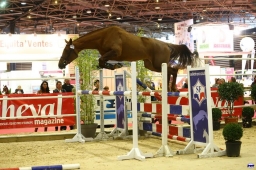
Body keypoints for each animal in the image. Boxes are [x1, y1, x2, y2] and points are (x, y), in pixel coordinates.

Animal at [58, 25, 198, 91]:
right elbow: (102, 62)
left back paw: (172, 88)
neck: (103, 37)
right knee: (170, 71)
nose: (60, 64)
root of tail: (166, 45)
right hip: (151, 65)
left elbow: (101, 60)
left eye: (66, 50)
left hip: (158, 64)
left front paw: (115, 66)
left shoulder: (115, 52)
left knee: (173, 70)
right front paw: (114, 66)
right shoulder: (109, 55)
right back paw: (170, 89)